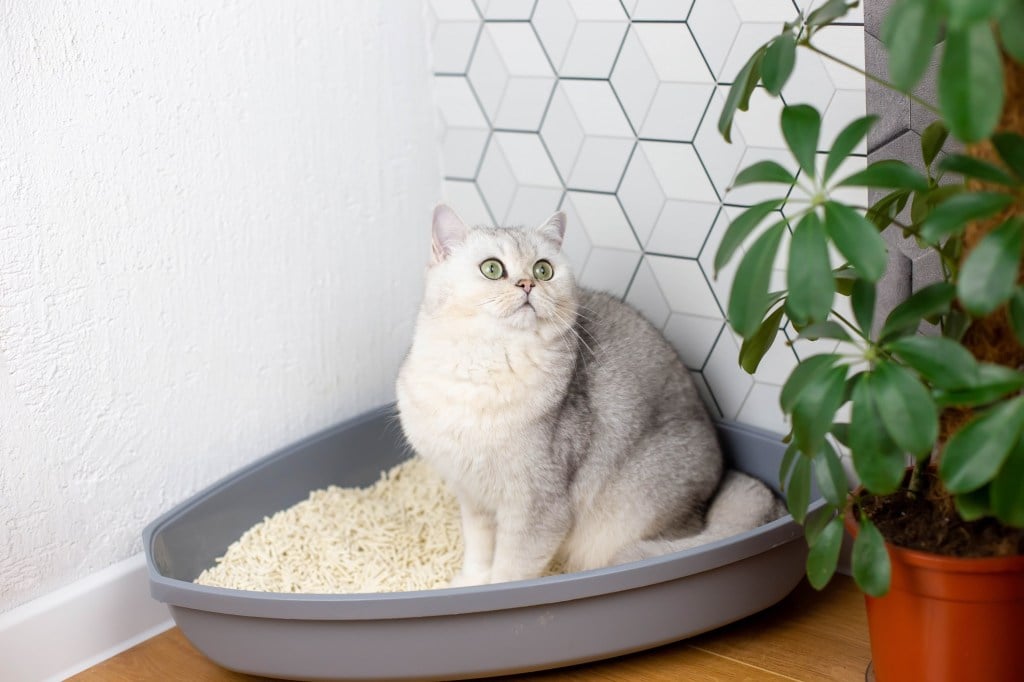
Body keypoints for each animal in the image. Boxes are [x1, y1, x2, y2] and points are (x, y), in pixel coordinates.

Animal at [395, 202, 778, 585]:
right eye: (492, 268)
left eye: (543, 269)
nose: (527, 283)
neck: (484, 365)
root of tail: (719, 483)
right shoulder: (473, 498)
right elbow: (478, 552)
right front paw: (471, 583)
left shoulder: (538, 506)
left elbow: (509, 570)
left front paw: (493, 591)